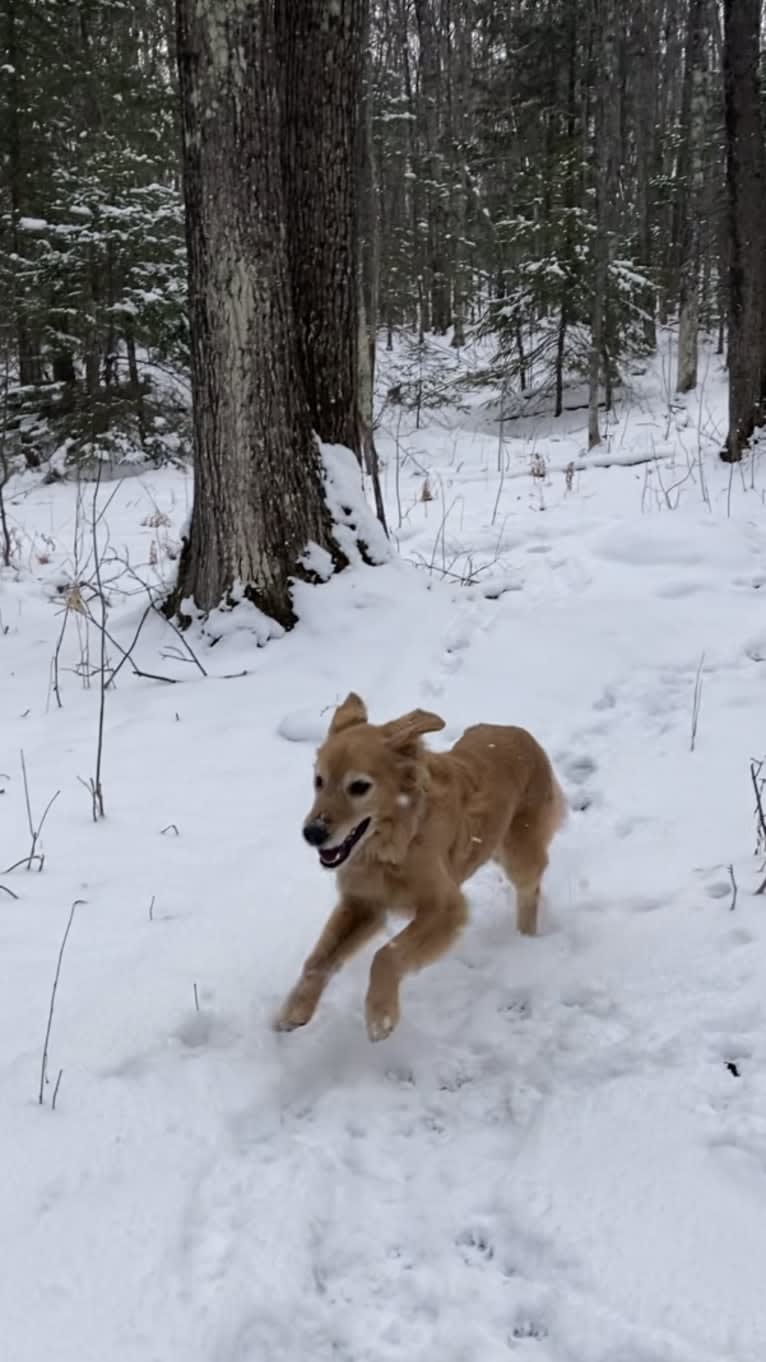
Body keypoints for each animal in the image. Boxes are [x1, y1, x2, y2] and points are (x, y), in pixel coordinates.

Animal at [272, 691, 561, 1040]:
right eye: (319, 781)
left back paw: (525, 939)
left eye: (359, 787)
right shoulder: (363, 904)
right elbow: (318, 960)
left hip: (520, 853)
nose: (312, 833)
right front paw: (295, 1010)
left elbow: (387, 954)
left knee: (530, 890)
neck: (393, 845)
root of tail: (520, 732)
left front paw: (380, 1013)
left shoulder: (446, 907)